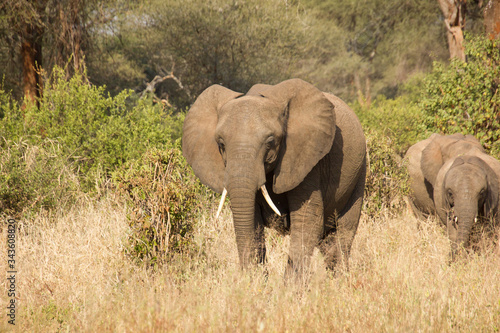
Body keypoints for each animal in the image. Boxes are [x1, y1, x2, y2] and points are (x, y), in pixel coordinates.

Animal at [182, 78, 366, 278]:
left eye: (270, 141)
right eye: (221, 144)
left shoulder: (308, 159)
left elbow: (307, 221)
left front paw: (290, 286)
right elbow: (251, 222)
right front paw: (255, 282)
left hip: (359, 174)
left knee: (341, 236)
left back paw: (341, 280)